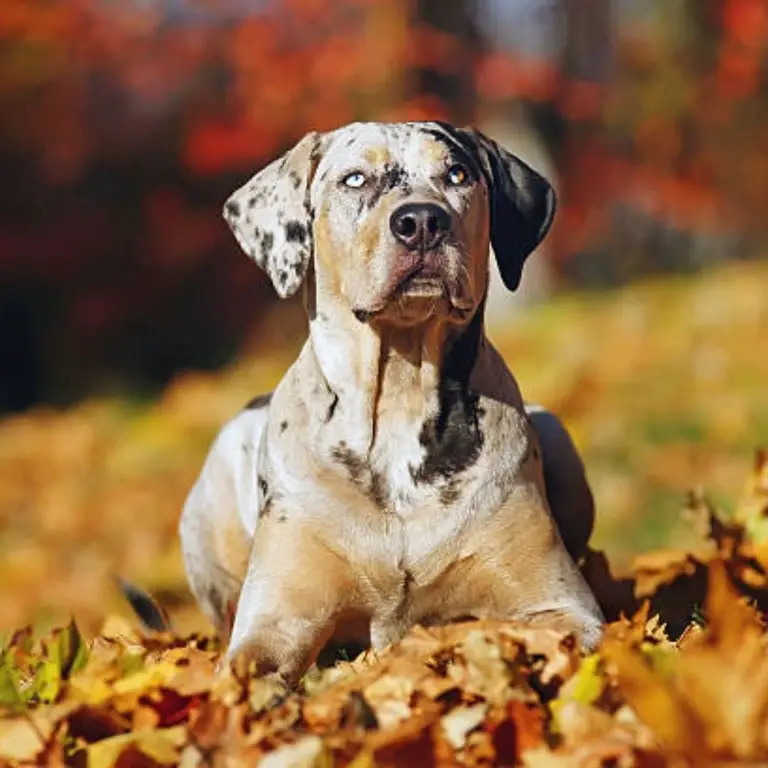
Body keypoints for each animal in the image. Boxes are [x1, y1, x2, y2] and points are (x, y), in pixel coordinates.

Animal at [180, 120, 608, 684]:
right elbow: (248, 671)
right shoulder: (276, 622)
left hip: (558, 436)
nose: (422, 221)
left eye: (457, 174)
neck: (400, 400)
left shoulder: (561, 604)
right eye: (355, 178)